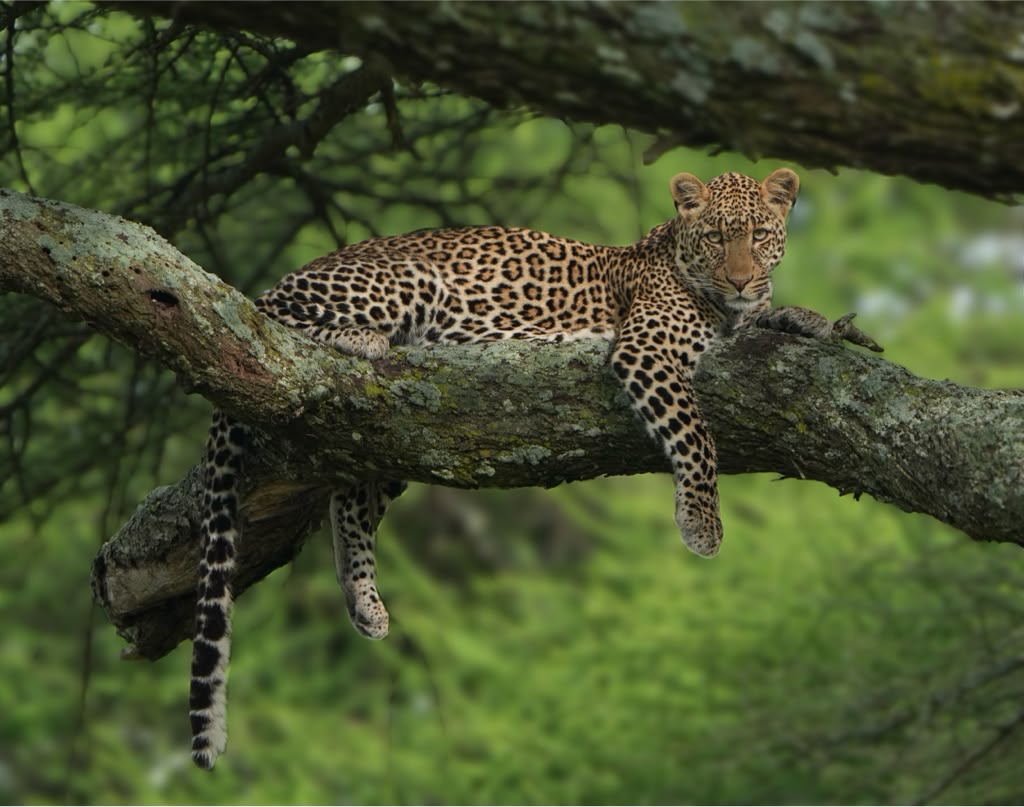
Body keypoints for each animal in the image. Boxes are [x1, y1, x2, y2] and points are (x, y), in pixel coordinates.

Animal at [187, 168, 881, 769]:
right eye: (715, 237)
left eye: (760, 235)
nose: (739, 280)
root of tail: (274, 283)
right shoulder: (646, 349)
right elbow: (695, 434)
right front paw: (702, 523)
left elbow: (774, 316)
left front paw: (817, 321)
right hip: (402, 283)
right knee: (286, 332)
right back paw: (365, 340)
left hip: (386, 440)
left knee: (351, 499)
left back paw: (366, 605)